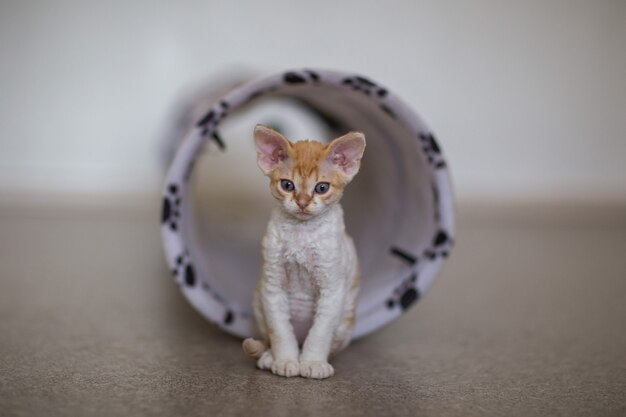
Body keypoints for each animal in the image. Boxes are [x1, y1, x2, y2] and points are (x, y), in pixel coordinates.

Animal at [240, 123, 366, 376]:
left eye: (321, 188)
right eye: (287, 185)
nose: (302, 202)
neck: (301, 232)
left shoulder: (332, 288)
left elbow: (320, 332)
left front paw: (313, 363)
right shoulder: (272, 285)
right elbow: (280, 331)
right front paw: (285, 360)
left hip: (346, 319)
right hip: (258, 299)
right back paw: (269, 356)